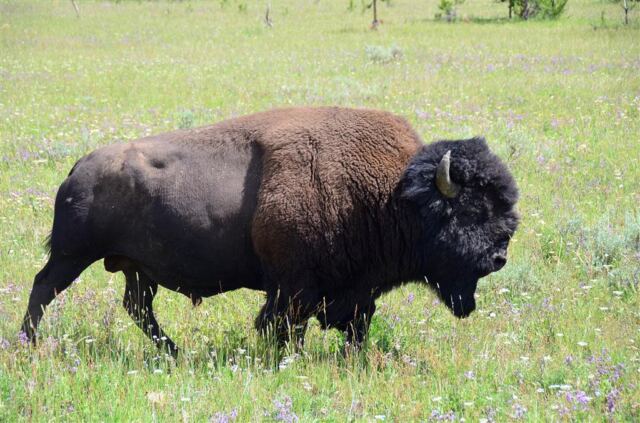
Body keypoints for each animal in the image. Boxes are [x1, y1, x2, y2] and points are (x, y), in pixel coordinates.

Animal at [21, 107, 519, 356]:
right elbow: (284, 325)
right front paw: (285, 359)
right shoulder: (294, 286)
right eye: (471, 210)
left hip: (136, 270)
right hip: (72, 255)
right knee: (44, 288)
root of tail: (78, 167)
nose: (499, 257)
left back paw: (175, 352)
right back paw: (29, 344)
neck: (390, 192)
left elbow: (357, 323)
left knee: (138, 308)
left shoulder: (353, 289)